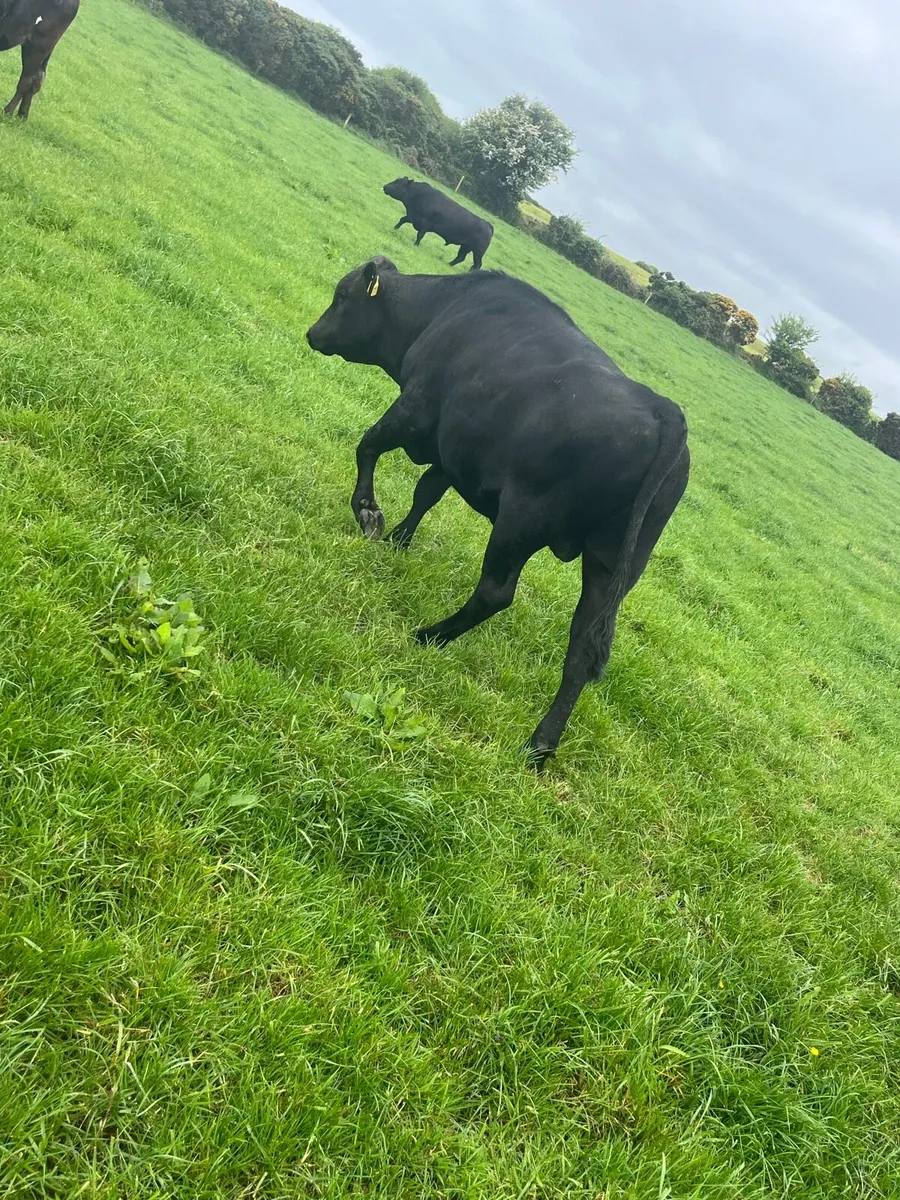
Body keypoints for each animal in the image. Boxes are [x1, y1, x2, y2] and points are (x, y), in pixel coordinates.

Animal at [306, 258, 690, 766]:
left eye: (343, 295)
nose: (313, 333)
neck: (442, 309)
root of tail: (663, 409)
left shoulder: (417, 410)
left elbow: (367, 446)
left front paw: (369, 513)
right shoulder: (454, 447)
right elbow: (427, 492)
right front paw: (399, 540)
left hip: (522, 519)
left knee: (496, 593)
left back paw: (430, 636)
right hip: (612, 564)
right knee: (582, 646)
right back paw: (540, 744)